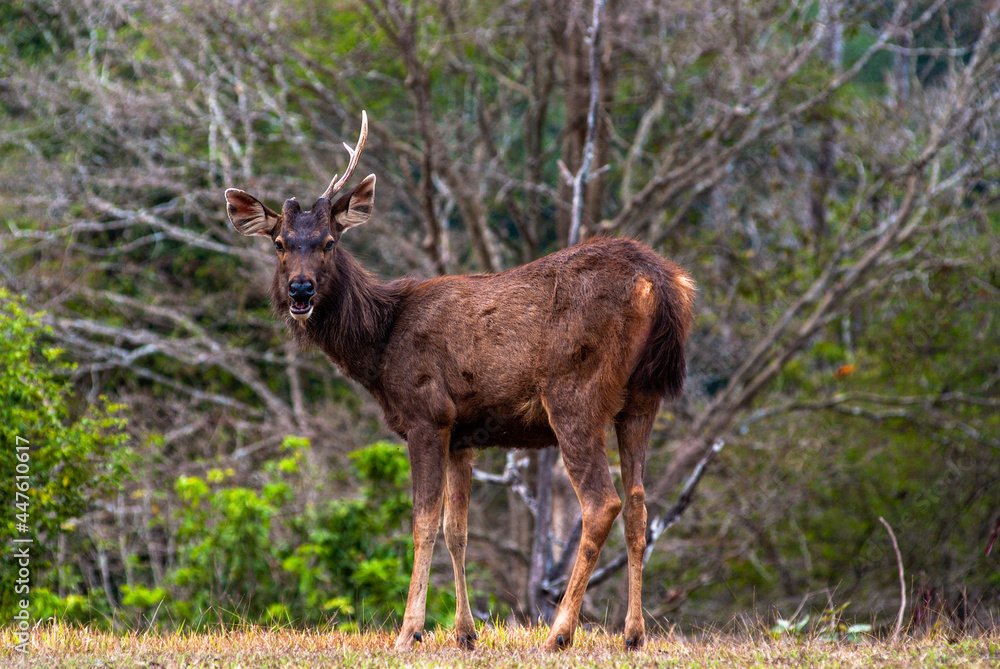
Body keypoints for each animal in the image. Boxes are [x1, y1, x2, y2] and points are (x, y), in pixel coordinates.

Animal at [224, 112, 695, 652]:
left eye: (329, 242)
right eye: (280, 244)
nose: (300, 290)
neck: (381, 346)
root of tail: (662, 282)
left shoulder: (427, 414)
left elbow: (423, 523)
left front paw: (409, 631)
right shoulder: (463, 433)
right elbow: (457, 530)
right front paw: (465, 633)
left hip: (575, 394)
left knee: (603, 503)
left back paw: (559, 632)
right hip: (642, 399)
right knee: (639, 504)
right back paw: (634, 634)